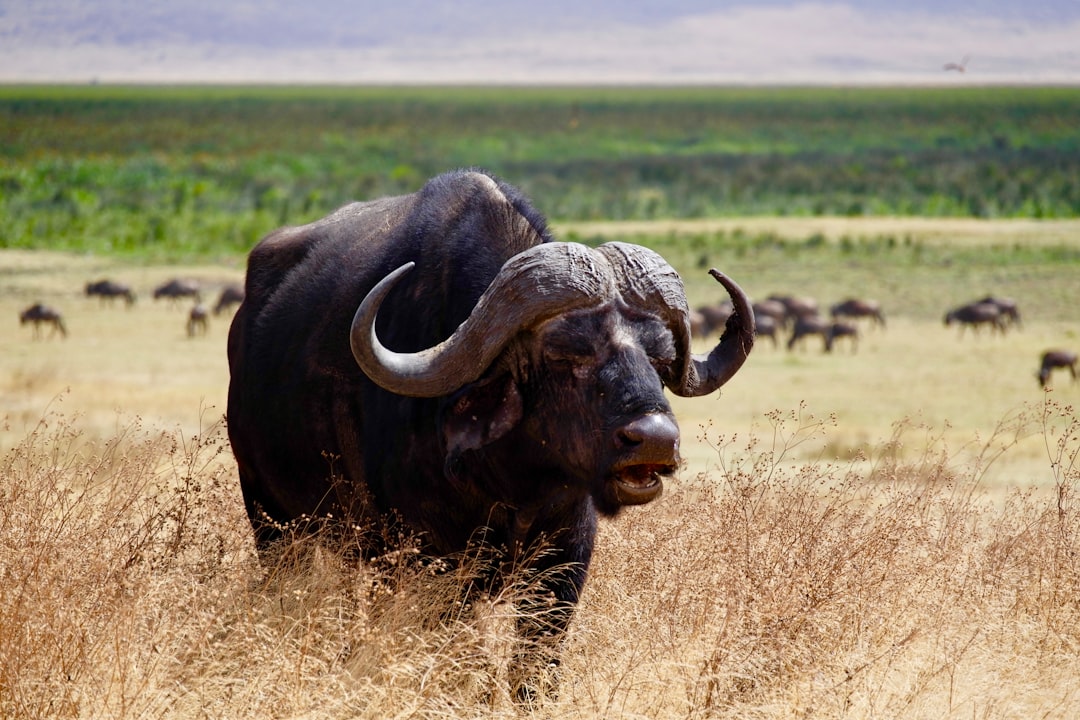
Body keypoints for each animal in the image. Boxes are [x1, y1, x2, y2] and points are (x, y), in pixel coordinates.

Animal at [227, 169, 751, 699]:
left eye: (661, 358)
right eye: (565, 354)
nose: (656, 439)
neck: (511, 481)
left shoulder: (565, 560)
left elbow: (535, 661)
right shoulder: (426, 561)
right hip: (272, 520)